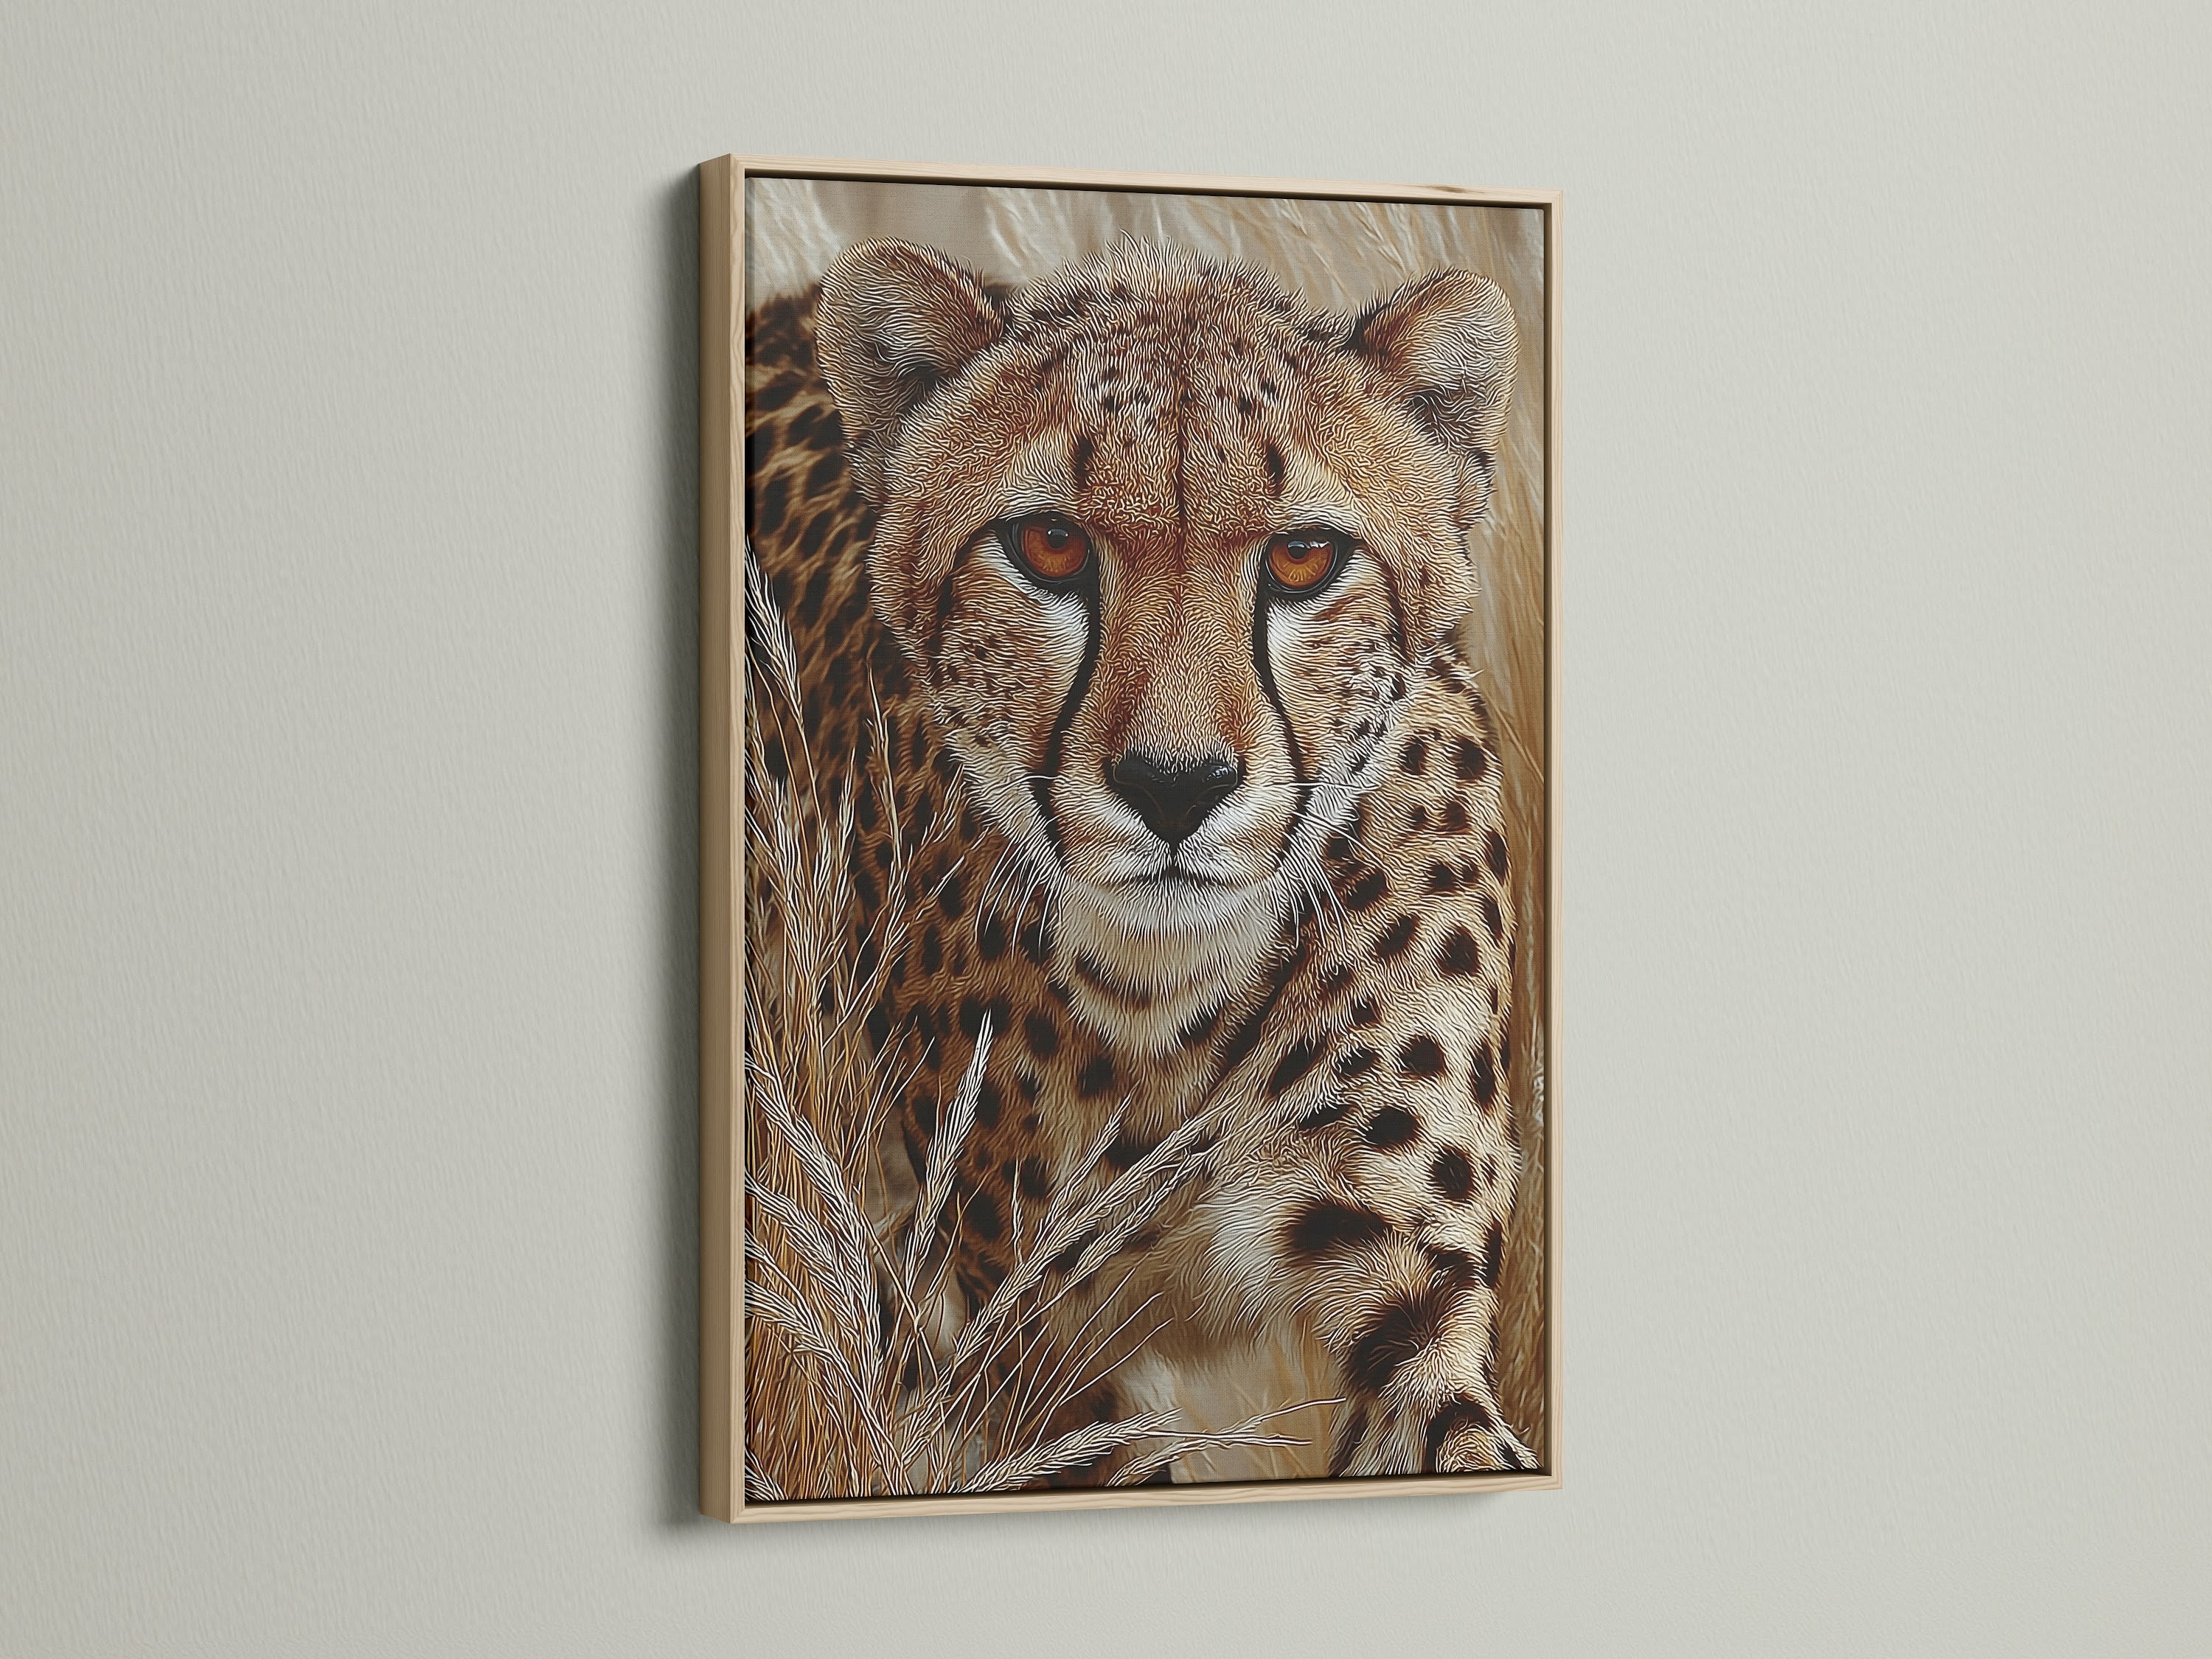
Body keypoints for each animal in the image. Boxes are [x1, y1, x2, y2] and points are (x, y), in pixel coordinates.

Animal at [744, 234, 1537, 1483]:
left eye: (1303, 557)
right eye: (1049, 544)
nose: (1175, 785)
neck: (1173, 1006)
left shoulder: (1411, 1288)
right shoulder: (1034, 1352)